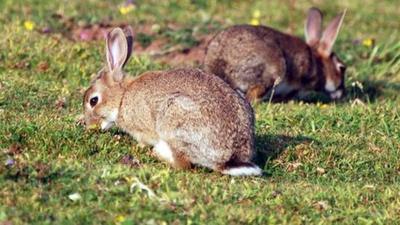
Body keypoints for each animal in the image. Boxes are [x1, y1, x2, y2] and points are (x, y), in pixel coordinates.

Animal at [83, 26, 260, 177]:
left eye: (93, 101)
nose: (88, 125)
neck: (122, 97)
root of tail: (230, 157)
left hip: (174, 120)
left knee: (183, 163)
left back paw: (159, 152)